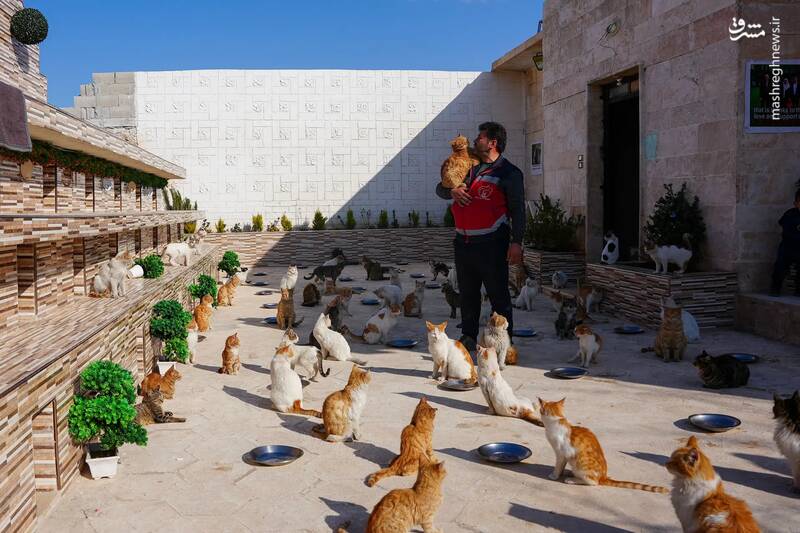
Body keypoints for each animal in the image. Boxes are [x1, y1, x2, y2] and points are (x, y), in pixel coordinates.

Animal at [536, 396, 668, 492]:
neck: (558, 422)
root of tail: (603, 477)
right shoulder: (564, 456)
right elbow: (562, 466)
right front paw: (562, 472)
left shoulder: (561, 453)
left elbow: (558, 466)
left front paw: (555, 475)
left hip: (581, 466)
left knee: (594, 482)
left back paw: (572, 479)